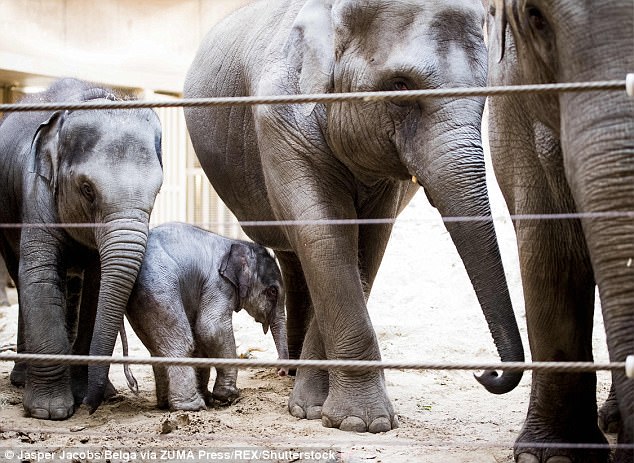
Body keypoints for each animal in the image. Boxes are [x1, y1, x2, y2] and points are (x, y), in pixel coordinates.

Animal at [0, 79, 163, 420]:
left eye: (157, 191)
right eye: (87, 190)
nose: (91, 406)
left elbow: (97, 288)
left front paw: (82, 393)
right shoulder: (36, 191)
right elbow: (39, 276)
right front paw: (50, 411)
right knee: (21, 280)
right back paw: (21, 379)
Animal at [123, 223, 286, 412]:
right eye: (272, 291)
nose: (281, 372)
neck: (235, 242)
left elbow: (202, 338)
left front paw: (210, 397)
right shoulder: (218, 283)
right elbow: (212, 329)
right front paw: (229, 396)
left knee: (158, 348)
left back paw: (166, 404)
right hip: (158, 286)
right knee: (182, 342)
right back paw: (192, 406)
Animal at [184, 0, 524, 436]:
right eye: (400, 85)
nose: (486, 373)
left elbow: (366, 244)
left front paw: (318, 410)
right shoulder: (280, 122)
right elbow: (325, 236)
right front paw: (356, 421)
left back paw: (294, 372)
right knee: (295, 251)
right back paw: (288, 372)